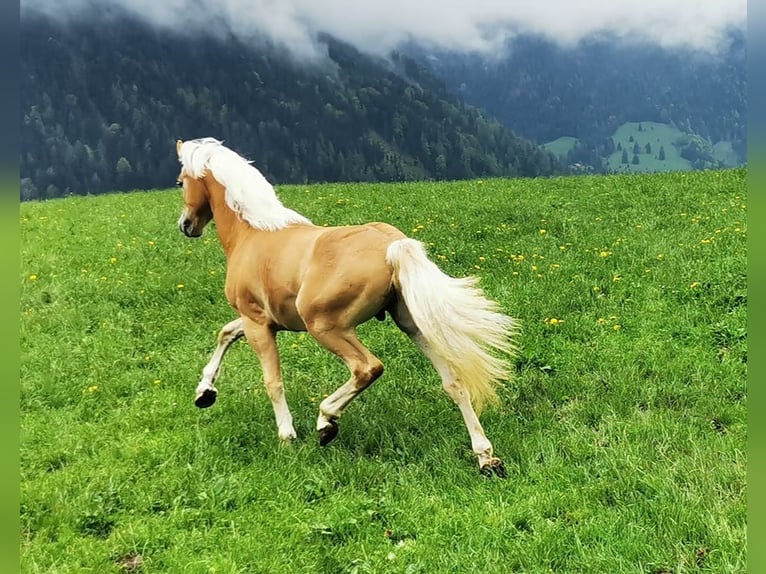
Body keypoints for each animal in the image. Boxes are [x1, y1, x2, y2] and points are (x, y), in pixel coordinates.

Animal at [177, 137, 520, 474]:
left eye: (181, 182)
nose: (186, 225)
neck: (253, 234)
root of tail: (392, 247)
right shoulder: (263, 319)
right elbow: (225, 333)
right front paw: (204, 393)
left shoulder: (257, 322)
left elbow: (272, 381)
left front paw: (287, 437)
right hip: (412, 323)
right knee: (454, 382)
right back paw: (486, 458)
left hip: (327, 327)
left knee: (367, 368)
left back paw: (326, 422)